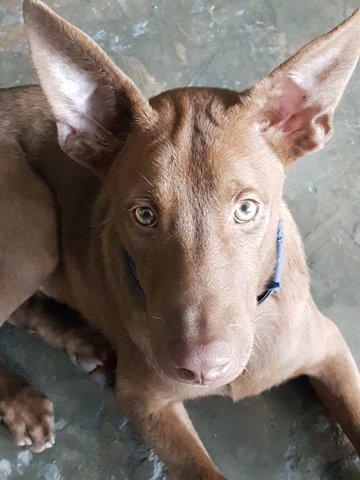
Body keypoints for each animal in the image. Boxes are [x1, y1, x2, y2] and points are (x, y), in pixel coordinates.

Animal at [0, 0, 360, 476]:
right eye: (144, 215)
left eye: (246, 209)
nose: (201, 369)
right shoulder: (145, 400)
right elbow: (200, 468)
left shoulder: (330, 347)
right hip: (32, 226)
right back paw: (21, 400)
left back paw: (80, 338)